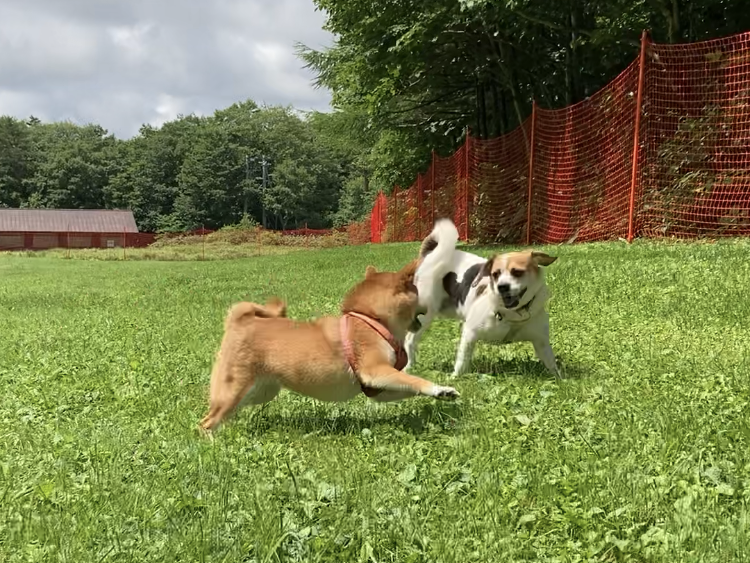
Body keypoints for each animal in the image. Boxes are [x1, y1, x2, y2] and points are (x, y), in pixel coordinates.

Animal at [200, 262, 458, 434]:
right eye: (419, 292)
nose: (432, 305)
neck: (372, 319)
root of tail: (239, 321)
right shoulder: (375, 371)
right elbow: (414, 379)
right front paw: (440, 388)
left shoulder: (377, 387)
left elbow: (408, 387)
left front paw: (440, 394)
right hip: (234, 389)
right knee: (206, 422)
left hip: (260, 391)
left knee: (221, 415)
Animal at [406, 220, 560, 378]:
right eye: (495, 274)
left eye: (517, 272)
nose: (502, 287)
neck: (513, 315)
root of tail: (429, 253)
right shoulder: (469, 333)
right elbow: (462, 360)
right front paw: (454, 378)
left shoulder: (541, 342)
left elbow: (552, 365)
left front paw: (560, 379)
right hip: (424, 314)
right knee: (409, 341)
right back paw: (409, 367)